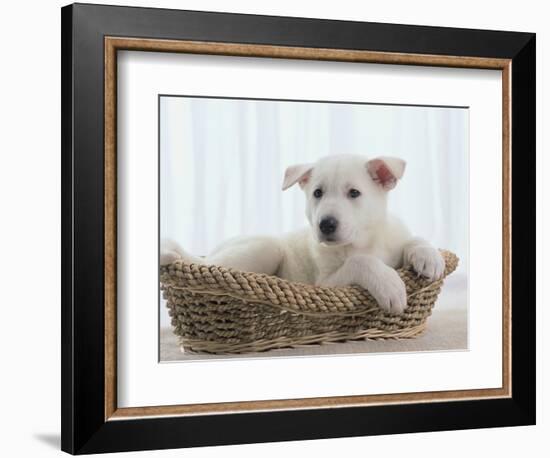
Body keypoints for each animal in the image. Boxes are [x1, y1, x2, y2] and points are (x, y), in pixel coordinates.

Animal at [162, 155, 446, 314]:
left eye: (354, 193)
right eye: (317, 193)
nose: (326, 224)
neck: (364, 242)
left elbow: (413, 240)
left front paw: (429, 257)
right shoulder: (326, 284)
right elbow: (361, 262)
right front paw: (389, 286)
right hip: (265, 247)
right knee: (209, 265)